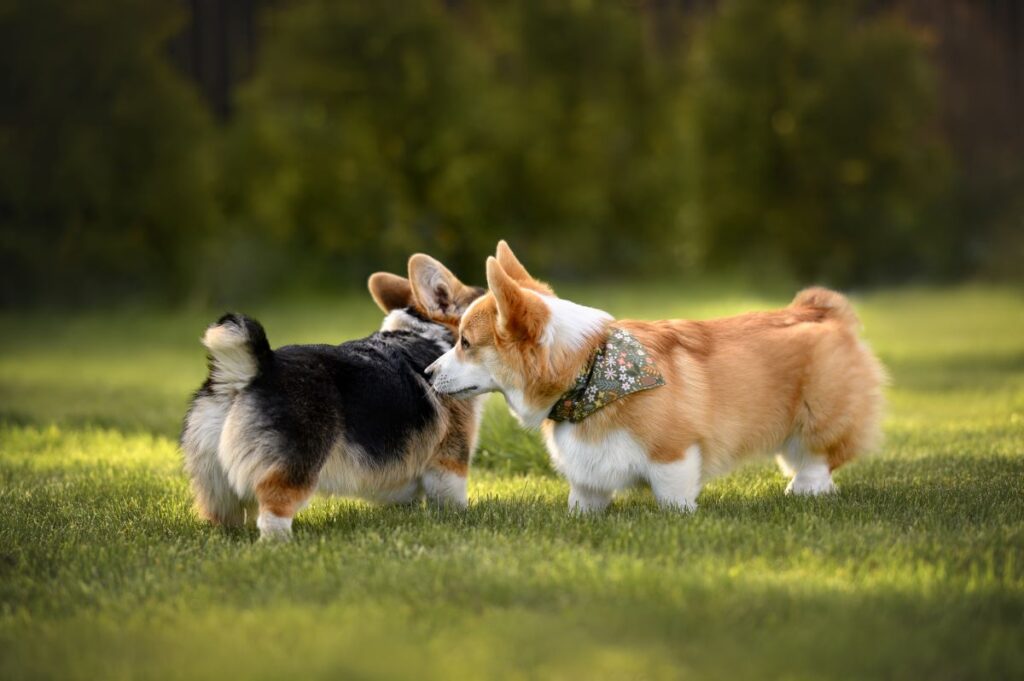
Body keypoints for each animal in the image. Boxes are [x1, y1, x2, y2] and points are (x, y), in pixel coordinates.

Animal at [180, 251, 483, 540]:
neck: (425, 331)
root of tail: (253, 369)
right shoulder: (451, 454)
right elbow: (451, 492)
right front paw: (461, 516)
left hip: (216, 480)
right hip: (295, 467)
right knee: (274, 513)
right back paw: (282, 545)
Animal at [428, 241, 884, 512]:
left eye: (465, 342)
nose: (427, 373)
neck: (589, 373)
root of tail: (820, 309)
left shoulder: (674, 454)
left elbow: (672, 495)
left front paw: (679, 517)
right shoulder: (588, 474)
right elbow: (584, 500)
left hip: (818, 415)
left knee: (817, 458)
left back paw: (806, 489)